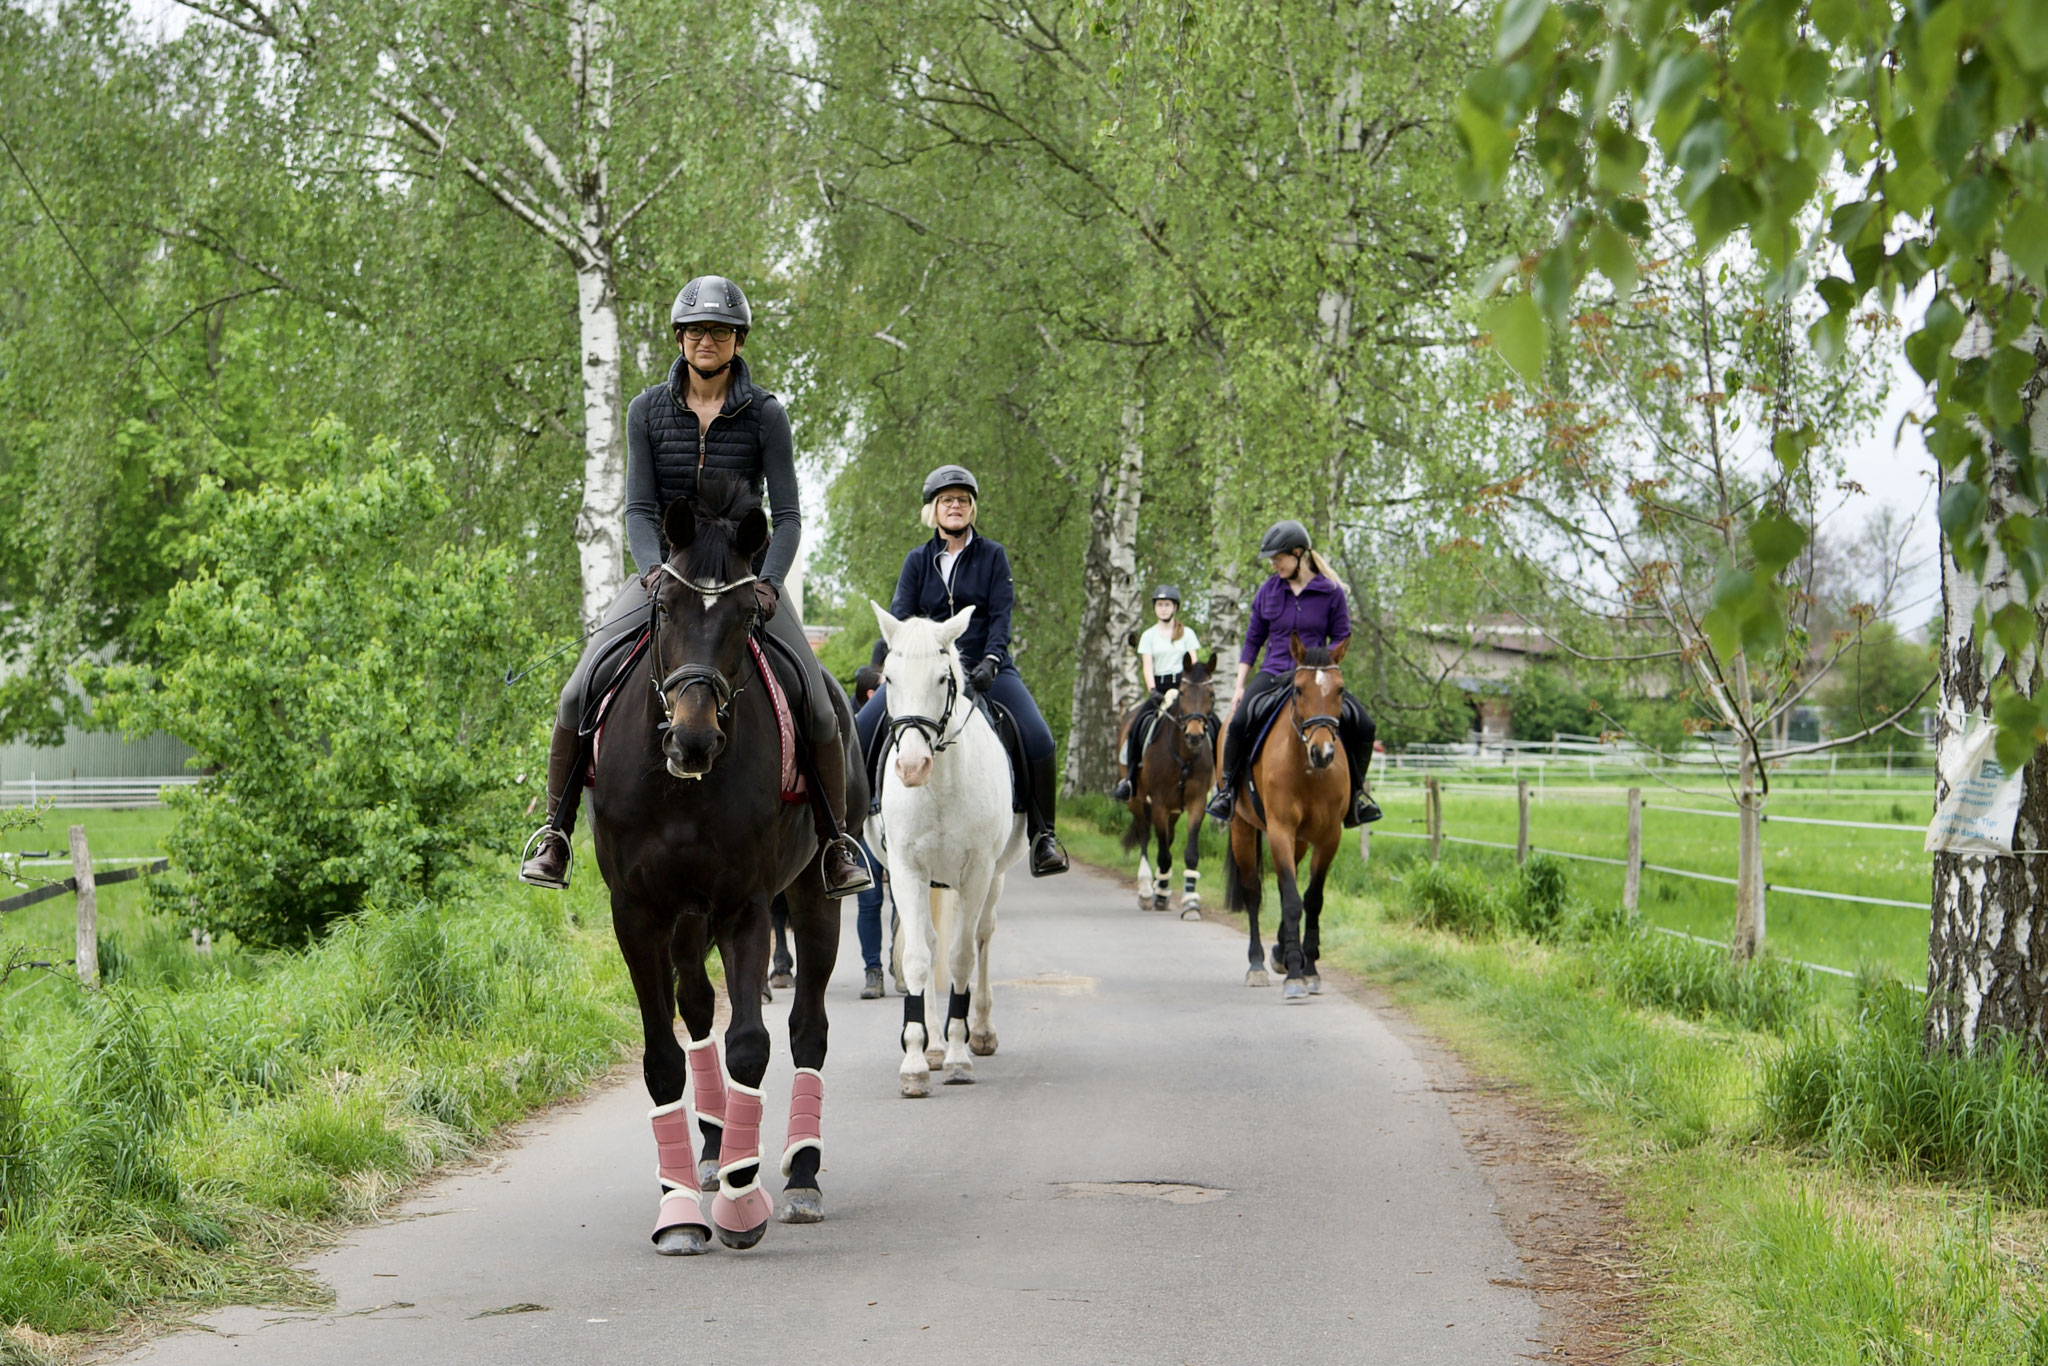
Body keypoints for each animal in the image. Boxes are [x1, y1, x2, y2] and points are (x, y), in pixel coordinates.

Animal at [589, 474, 864, 1254]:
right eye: (663, 608)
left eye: (746, 616)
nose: (691, 739)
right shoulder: (639, 915)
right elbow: (663, 1055)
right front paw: (680, 1209)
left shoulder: (747, 907)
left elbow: (751, 1044)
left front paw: (744, 1204)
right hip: (687, 922)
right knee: (697, 1010)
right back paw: (712, 1152)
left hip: (813, 898)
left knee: (807, 1029)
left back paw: (799, 1177)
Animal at [868, 601, 1026, 1097]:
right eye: (889, 678)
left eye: (943, 678)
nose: (911, 767)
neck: (938, 785)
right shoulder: (906, 870)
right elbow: (920, 959)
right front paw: (918, 1061)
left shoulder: (977, 872)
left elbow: (961, 958)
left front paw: (959, 1057)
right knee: (933, 943)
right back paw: (934, 1045)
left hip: (993, 878)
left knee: (981, 937)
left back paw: (980, 1032)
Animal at [1117, 653, 1219, 918]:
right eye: (1182, 692)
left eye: (1211, 694)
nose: (1194, 736)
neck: (1183, 753)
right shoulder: (1159, 803)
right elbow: (1163, 854)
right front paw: (1160, 894)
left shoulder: (1196, 802)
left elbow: (1190, 853)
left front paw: (1190, 902)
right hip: (1137, 801)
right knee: (1144, 836)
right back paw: (1146, 890)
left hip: (1174, 810)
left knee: (1168, 837)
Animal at [1221, 636, 1350, 1003]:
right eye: (1299, 689)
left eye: (1340, 690)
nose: (1323, 753)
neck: (1308, 770)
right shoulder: (1280, 830)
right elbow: (1292, 901)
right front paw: (1295, 974)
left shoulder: (1328, 837)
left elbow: (1312, 899)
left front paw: (1310, 968)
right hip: (1242, 828)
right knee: (1253, 892)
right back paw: (1257, 965)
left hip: (1301, 842)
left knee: (1282, 887)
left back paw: (1280, 953)